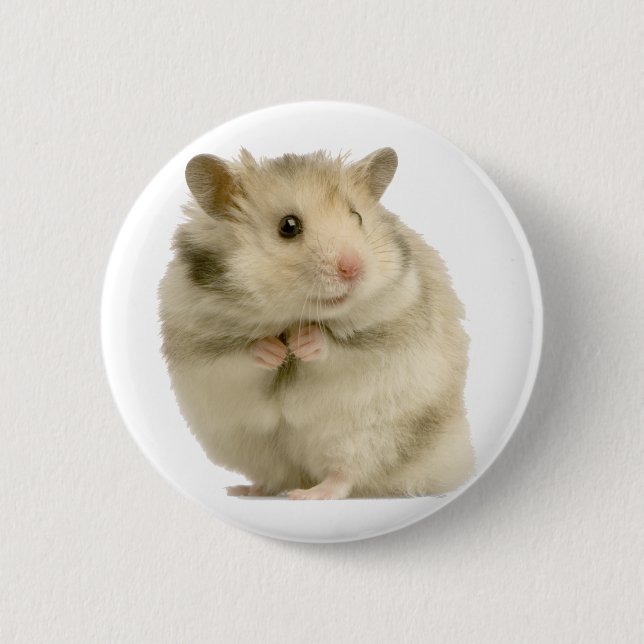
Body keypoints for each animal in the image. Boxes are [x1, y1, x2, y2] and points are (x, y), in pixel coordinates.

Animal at [158, 147, 475, 499]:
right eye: (288, 226)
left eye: (357, 217)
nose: (353, 269)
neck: (292, 316)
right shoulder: (199, 345)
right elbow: (239, 355)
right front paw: (274, 351)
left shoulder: (389, 329)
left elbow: (338, 349)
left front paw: (302, 343)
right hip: (251, 446)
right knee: (277, 477)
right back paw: (245, 490)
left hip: (368, 436)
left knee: (346, 475)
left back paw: (308, 494)